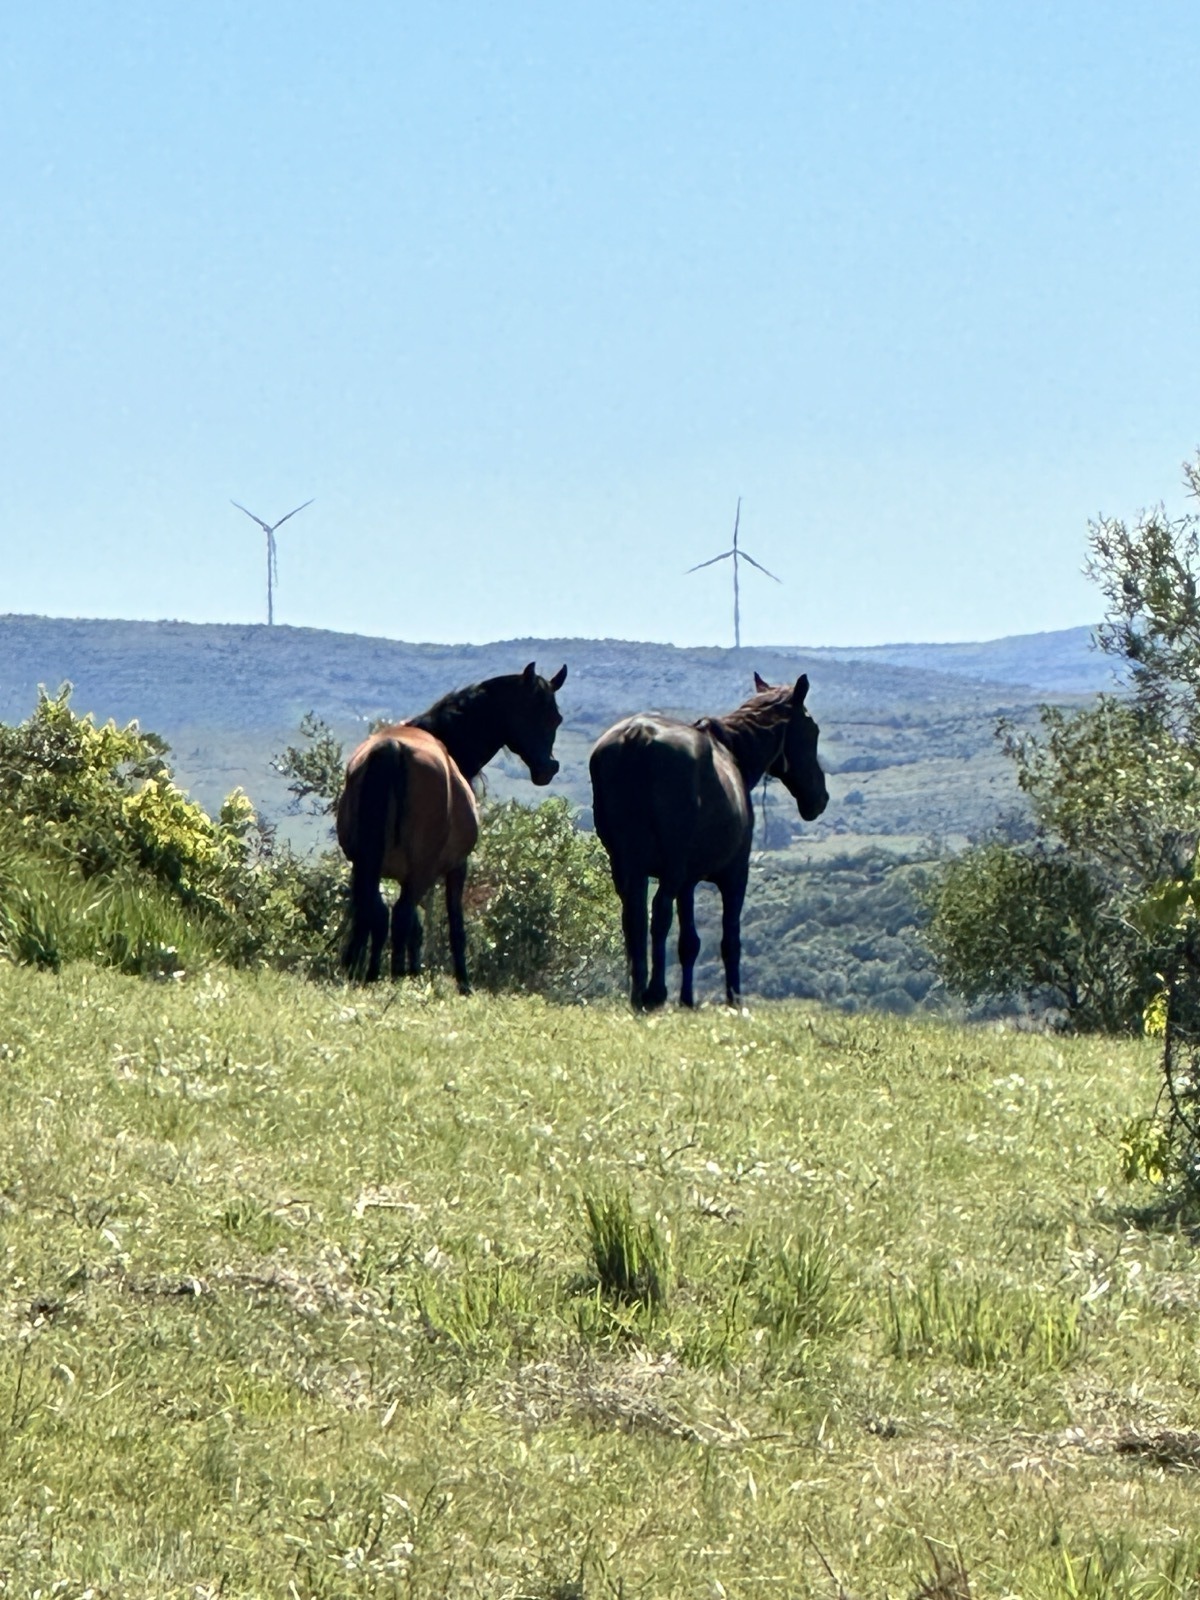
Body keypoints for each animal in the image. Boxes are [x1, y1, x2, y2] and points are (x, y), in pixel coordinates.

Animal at [337, 661, 568, 989]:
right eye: (532, 712)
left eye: (556, 718)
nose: (548, 768)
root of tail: (392, 749)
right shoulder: (456, 866)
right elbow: (454, 925)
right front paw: (463, 983)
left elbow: (411, 928)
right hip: (418, 870)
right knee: (398, 914)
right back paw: (392, 977)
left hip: (365, 864)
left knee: (373, 913)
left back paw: (363, 972)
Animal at [589, 672, 828, 1009]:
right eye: (812, 729)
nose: (820, 799)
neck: (733, 755)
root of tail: (637, 736)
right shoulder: (734, 875)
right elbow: (730, 940)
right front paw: (734, 1000)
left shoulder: (687, 883)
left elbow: (689, 942)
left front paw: (687, 1000)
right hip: (671, 867)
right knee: (658, 913)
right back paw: (654, 993)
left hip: (627, 867)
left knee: (633, 918)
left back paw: (638, 994)